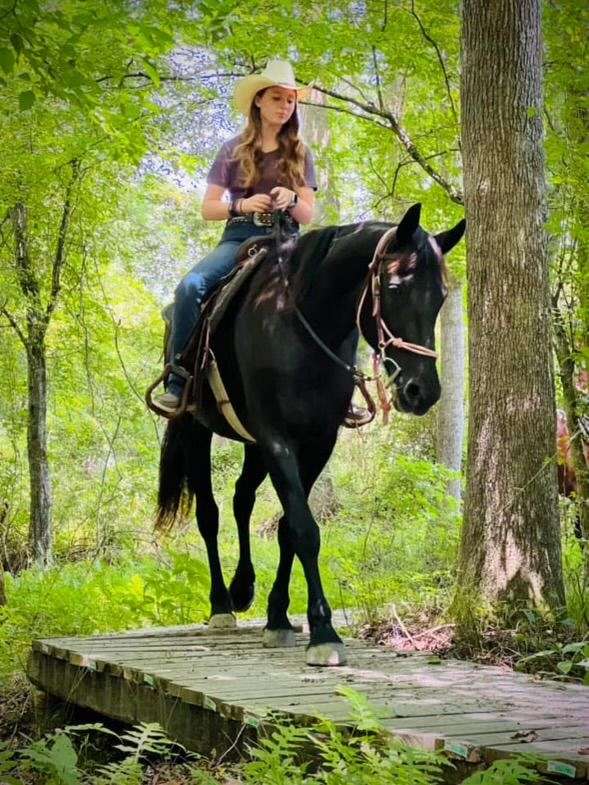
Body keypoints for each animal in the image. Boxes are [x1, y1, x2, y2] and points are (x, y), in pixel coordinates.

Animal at [155, 205, 464, 664]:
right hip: (197, 430)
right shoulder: (277, 438)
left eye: (441, 295)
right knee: (209, 514)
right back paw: (222, 605)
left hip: (253, 446)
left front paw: (279, 617)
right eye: (394, 287)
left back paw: (242, 587)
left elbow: (287, 529)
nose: (421, 391)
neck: (297, 322)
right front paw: (323, 631)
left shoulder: (318, 441)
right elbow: (304, 528)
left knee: (242, 498)